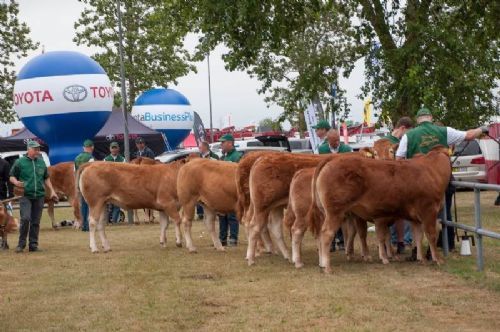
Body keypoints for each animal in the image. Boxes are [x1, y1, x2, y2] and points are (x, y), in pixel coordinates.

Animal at [310, 148, 452, 272]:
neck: (433, 171)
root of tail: (332, 159)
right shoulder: (429, 210)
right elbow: (431, 234)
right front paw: (437, 259)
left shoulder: (415, 218)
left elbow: (418, 236)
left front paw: (421, 259)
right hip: (335, 211)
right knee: (327, 233)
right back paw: (327, 267)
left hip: (325, 213)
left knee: (322, 234)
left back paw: (322, 263)